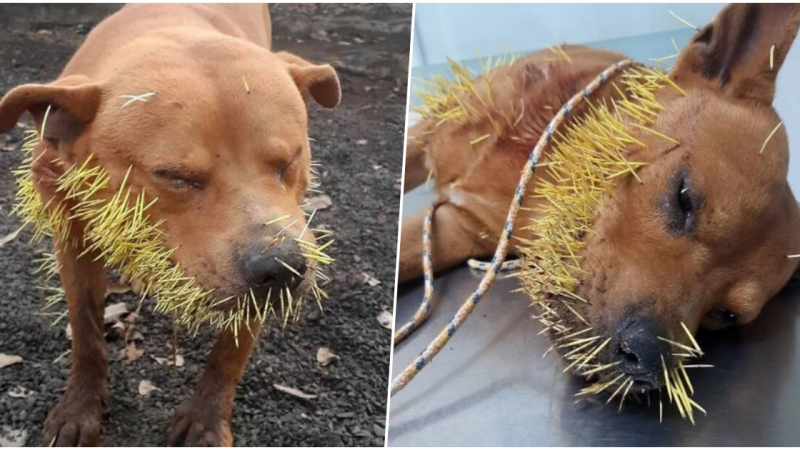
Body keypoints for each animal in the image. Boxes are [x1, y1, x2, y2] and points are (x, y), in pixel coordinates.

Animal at [0, 3, 340, 446]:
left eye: (290, 162)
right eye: (176, 177)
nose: (282, 268)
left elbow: (230, 353)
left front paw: (206, 419)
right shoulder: (72, 237)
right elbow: (86, 330)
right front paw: (80, 407)